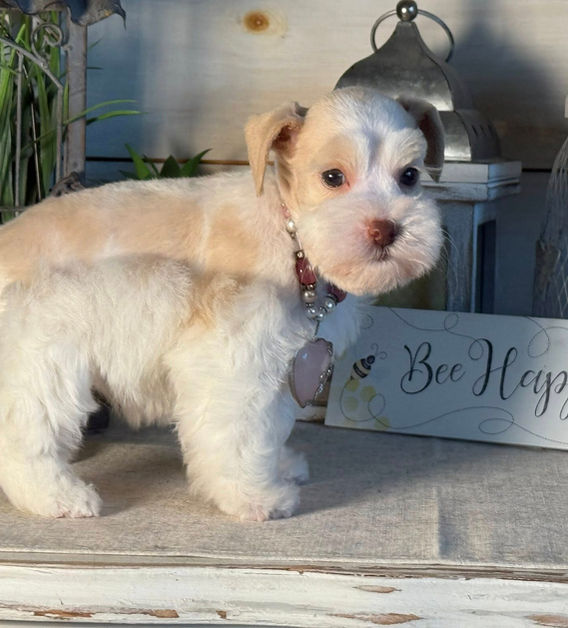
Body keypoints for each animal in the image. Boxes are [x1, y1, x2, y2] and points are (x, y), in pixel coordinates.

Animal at [0, 87, 443, 521]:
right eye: (332, 177)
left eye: (409, 175)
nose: (385, 230)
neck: (291, 236)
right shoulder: (232, 358)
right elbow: (239, 434)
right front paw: (253, 496)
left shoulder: (281, 362)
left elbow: (270, 426)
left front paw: (278, 467)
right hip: (43, 363)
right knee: (23, 441)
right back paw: (57, 497)